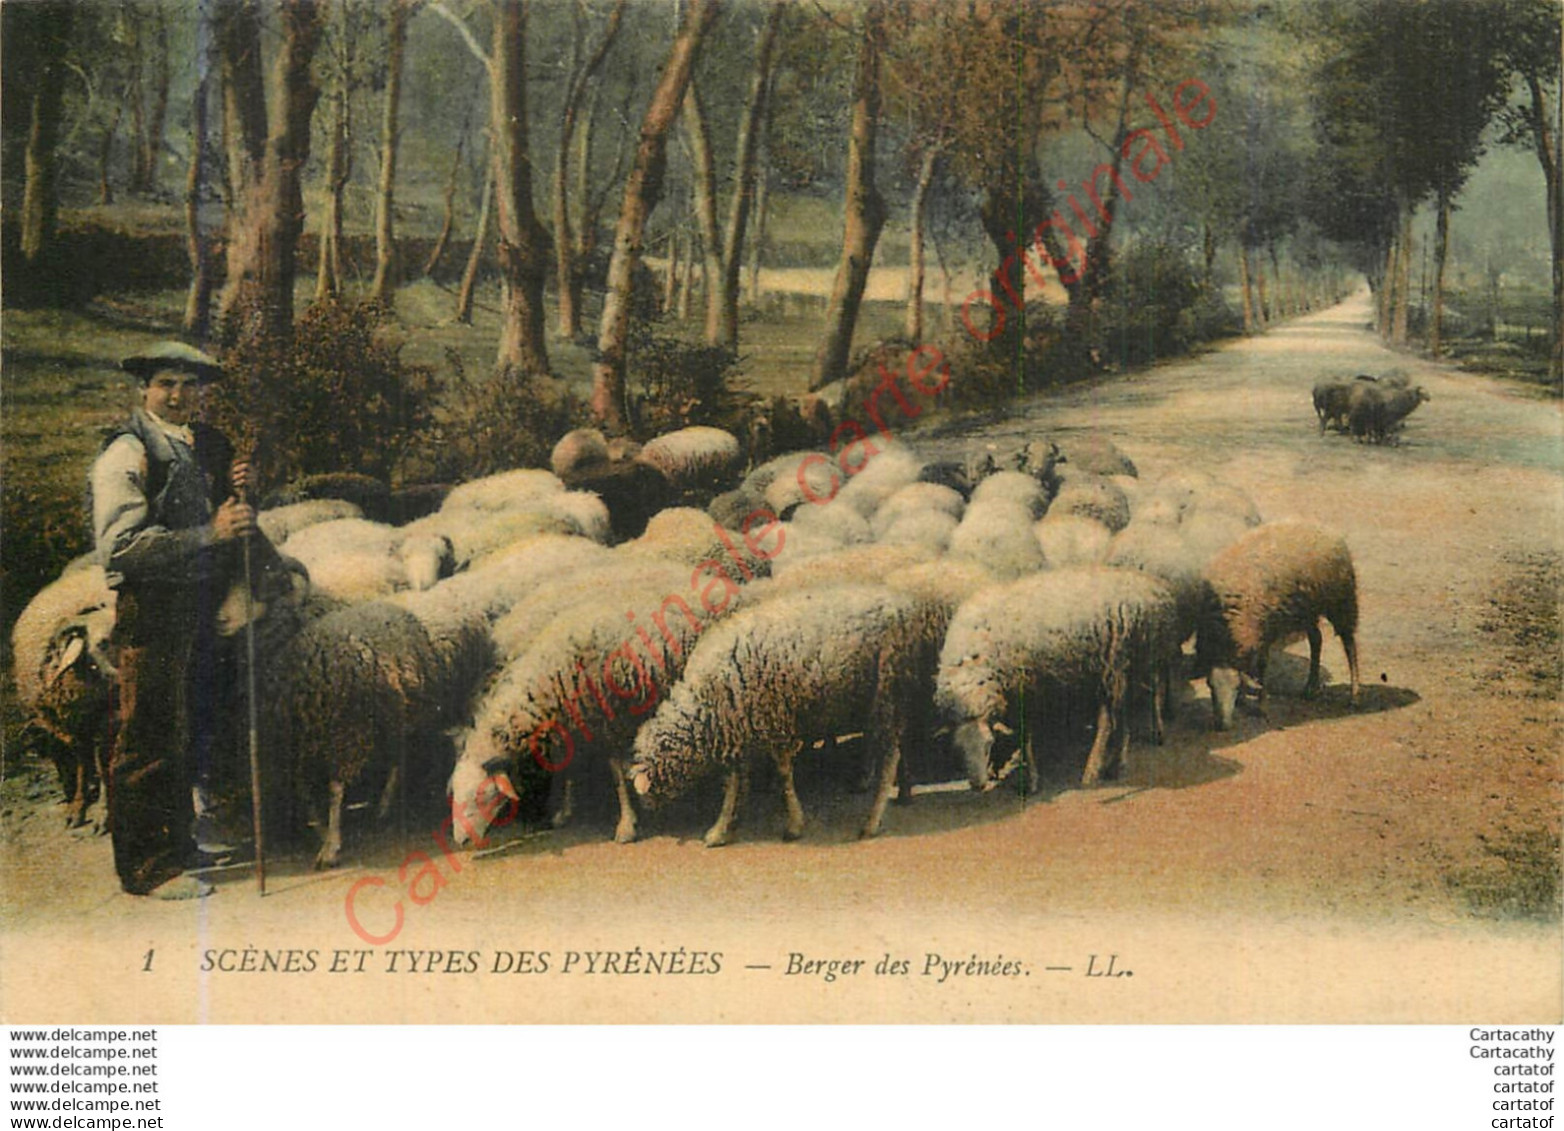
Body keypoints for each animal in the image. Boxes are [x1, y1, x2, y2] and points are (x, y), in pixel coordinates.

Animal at [447, 569, 725, 844]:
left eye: (482, 796)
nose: (461, 842)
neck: (551, 677)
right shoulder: (573, 721)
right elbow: (570, 766)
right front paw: (564, 812)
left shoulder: (611, 721)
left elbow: (617, 777)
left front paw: (626, 825)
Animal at [932, 566, 1176, 797]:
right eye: (957, 749)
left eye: (987, 744)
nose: (977, 785)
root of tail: (1152, 586)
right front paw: (997, 768)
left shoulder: (1026, 688)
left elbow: (1025, 737)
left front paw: (1031, 780)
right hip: (1134, 660)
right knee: (1141, 698)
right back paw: (1144, 741)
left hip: (1115, 662)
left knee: (1109, 720)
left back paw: (1094, 769)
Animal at [1194, 522, 1357, 735]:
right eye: (1210, 686)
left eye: (1235, 687)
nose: (1222, 726)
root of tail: (1320, 526)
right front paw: (1244, 700)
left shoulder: (1265, 630)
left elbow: (1262, 667)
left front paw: (1261, 706)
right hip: (1307, 609)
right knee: (1317, 639)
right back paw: (1310, 688)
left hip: (1341, 599)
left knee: (1349, 644)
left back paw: (1354, 694)